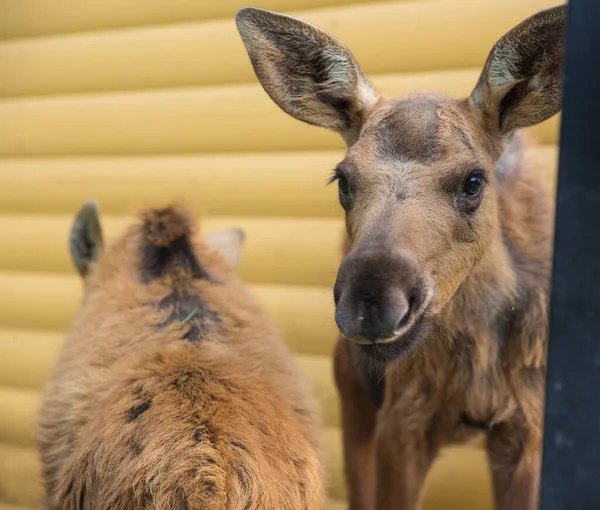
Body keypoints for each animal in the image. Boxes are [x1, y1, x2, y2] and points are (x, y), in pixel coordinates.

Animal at [237, 4, 564, 510]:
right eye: (343, 179)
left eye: (474, 180)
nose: (371, 302)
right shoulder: (402, 421)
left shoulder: (526, 428)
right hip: (353, 391)